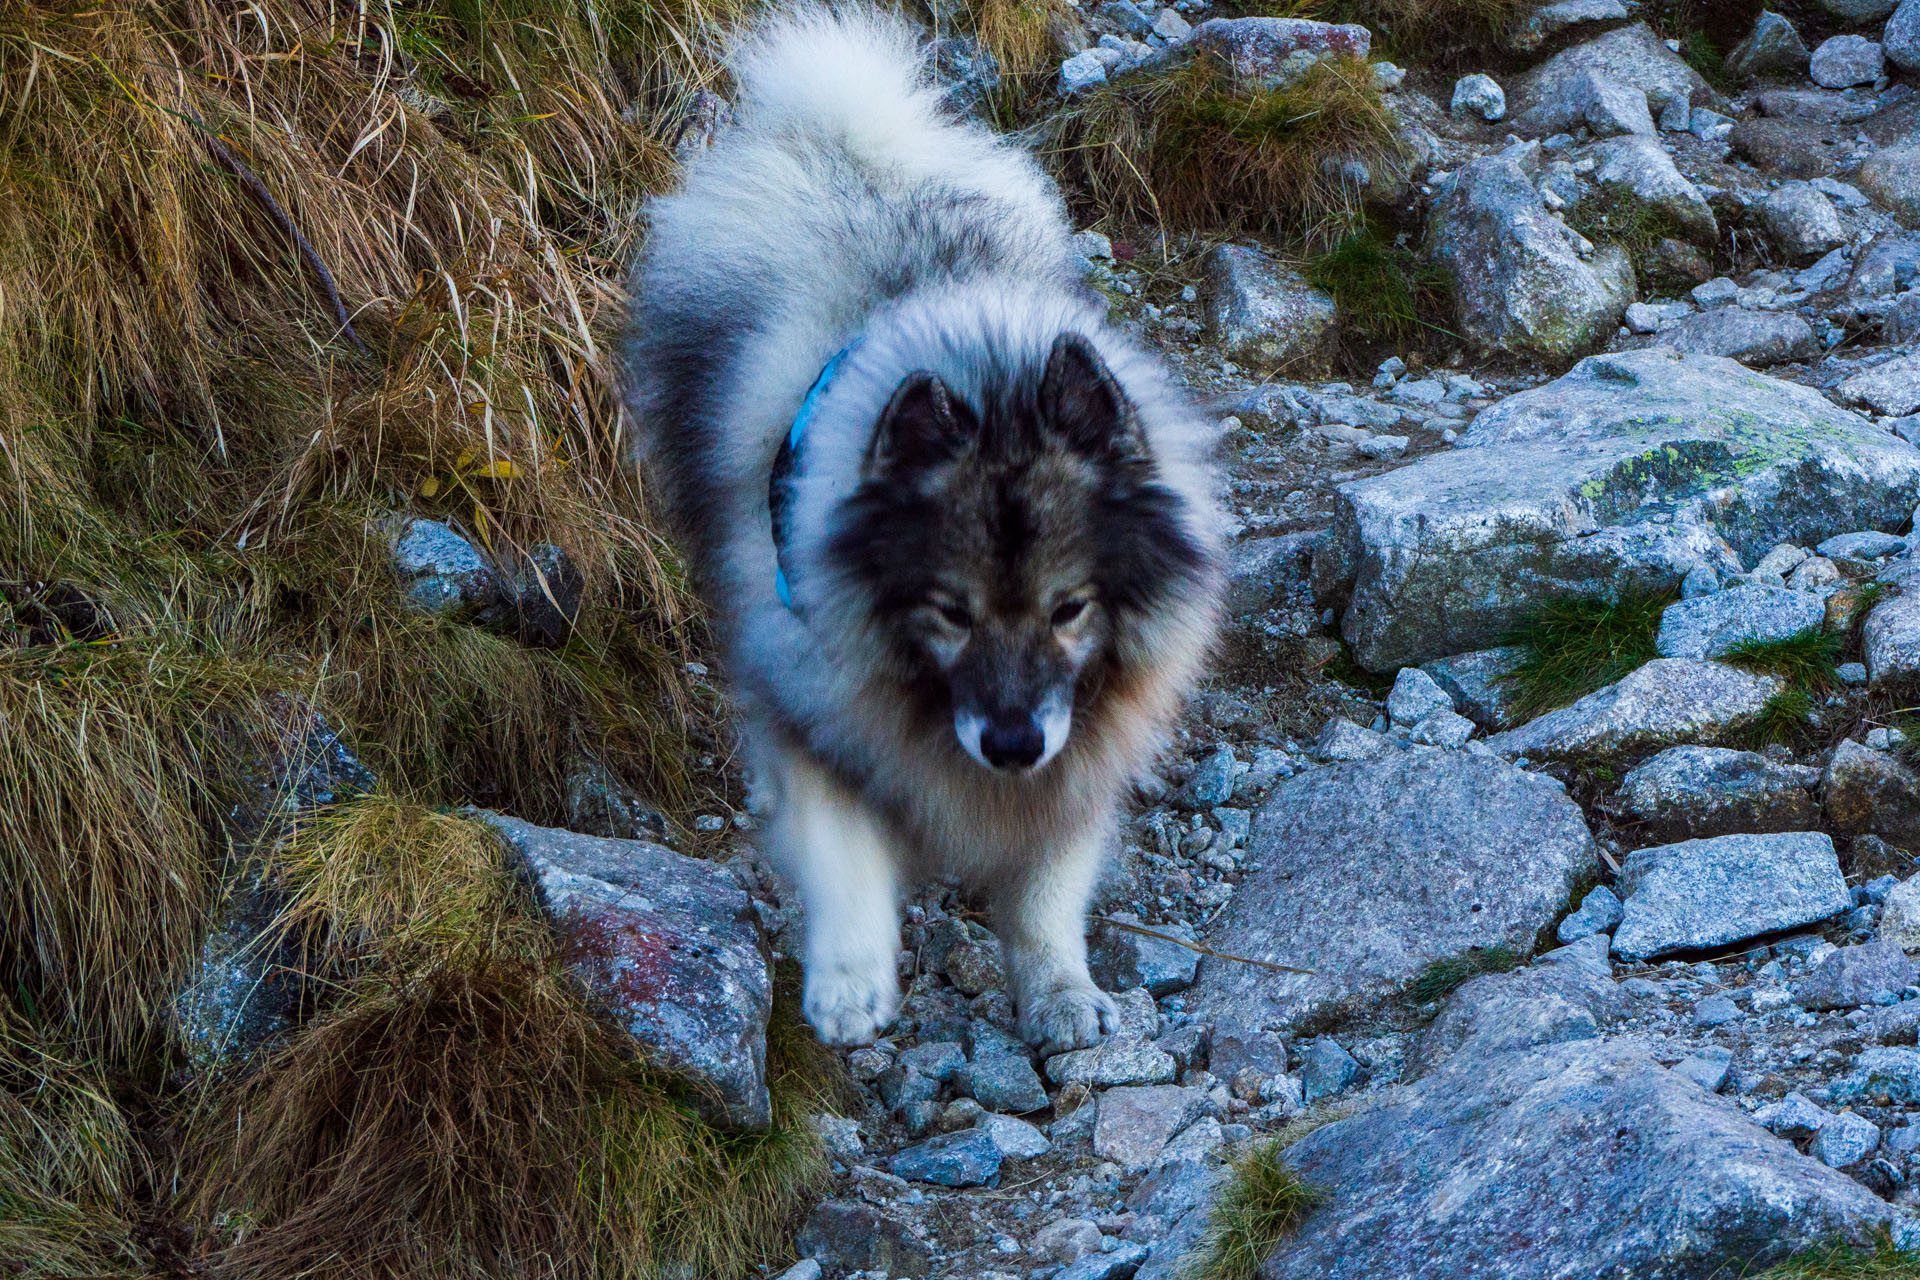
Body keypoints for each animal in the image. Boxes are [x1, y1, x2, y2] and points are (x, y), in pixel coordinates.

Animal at [629, 7, 1228, 1051]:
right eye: (949, 611)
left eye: (1071, 609)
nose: (1014, 744)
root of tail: (842, 143)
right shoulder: (819, 705)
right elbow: (843, 853)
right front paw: (850, 984)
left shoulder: (1079, 761)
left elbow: (1046, 887)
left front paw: (1059, 989)